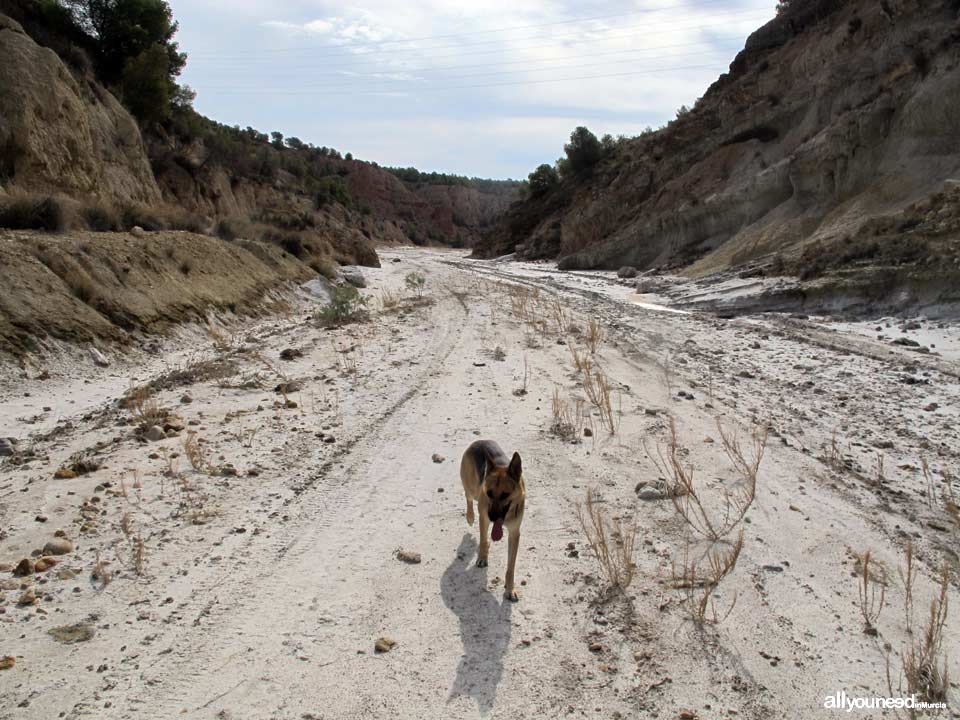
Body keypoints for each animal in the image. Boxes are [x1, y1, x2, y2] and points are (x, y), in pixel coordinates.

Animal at [462, 438, 528, 600]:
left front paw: (510, 589)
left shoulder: (514, 534)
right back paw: (470, 516)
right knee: (468, 496)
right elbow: (483, 540)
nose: (492, 517)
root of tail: (479, 441)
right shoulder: (484, 519)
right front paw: (482, 557)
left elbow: (511, 566)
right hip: (471, 489)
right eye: (490, 493)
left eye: (505, 495)